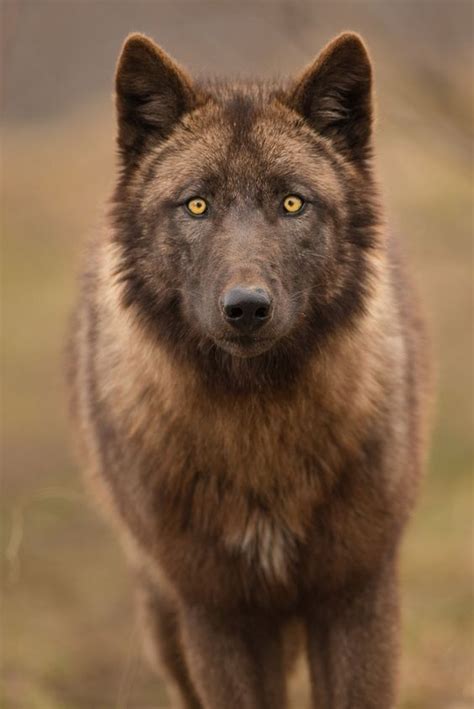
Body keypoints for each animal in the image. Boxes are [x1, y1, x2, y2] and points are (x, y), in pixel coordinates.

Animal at [68, 31, 431, 709]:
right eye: (197, 205)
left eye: (292, 203)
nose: (246, 308)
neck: (260, 437)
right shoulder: (217, 613)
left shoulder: (356, 595)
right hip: (165, 623)